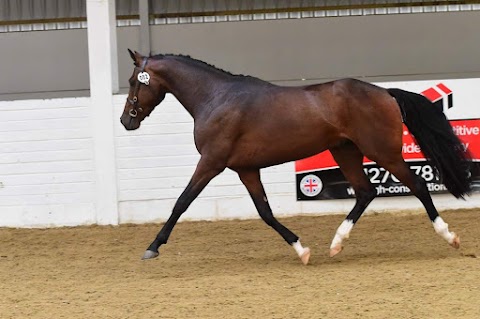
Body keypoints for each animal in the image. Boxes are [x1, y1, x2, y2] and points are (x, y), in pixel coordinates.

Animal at [119, 49, 468, 264]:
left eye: (134, 81)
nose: (126, 120)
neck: (216, 98)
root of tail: (385, 93)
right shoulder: (246, 169)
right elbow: (265, 212)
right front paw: (302, 250)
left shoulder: (211, 162)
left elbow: (182, 202)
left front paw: (152, 247)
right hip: (345, 151)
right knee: (365, 192)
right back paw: (336, 244)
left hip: (382, 152)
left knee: (418, 186)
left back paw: (449, 236)